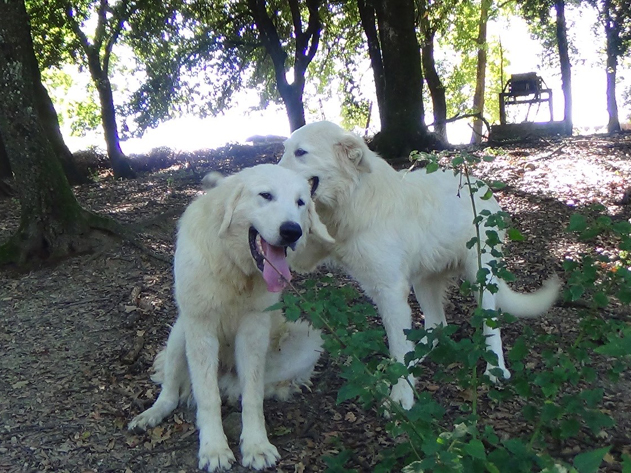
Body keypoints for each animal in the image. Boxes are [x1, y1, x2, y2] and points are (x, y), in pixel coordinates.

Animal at [130, 162, 336, 468]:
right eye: (266, 195)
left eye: (300, 202)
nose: (292, 231)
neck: (233, 267)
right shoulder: (200, 327)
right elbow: (207, 397)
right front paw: (214, 449)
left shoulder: (253, 328)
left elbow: (252, 395)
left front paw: (256, 445)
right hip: (181, 331)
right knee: (170, 391)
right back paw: (152, 414)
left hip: (309, 339)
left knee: (252, 385)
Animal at [278, 121, 560, 410]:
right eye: (285, 150)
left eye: (301, 152)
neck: (354, 198)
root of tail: (482, 185)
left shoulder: (390, 291)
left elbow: (398, 348)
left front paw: (401, 396)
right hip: (425, 282)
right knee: (437, 325)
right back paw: (418, 353)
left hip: (481, 276)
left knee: (488, 324)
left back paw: (496, 370)